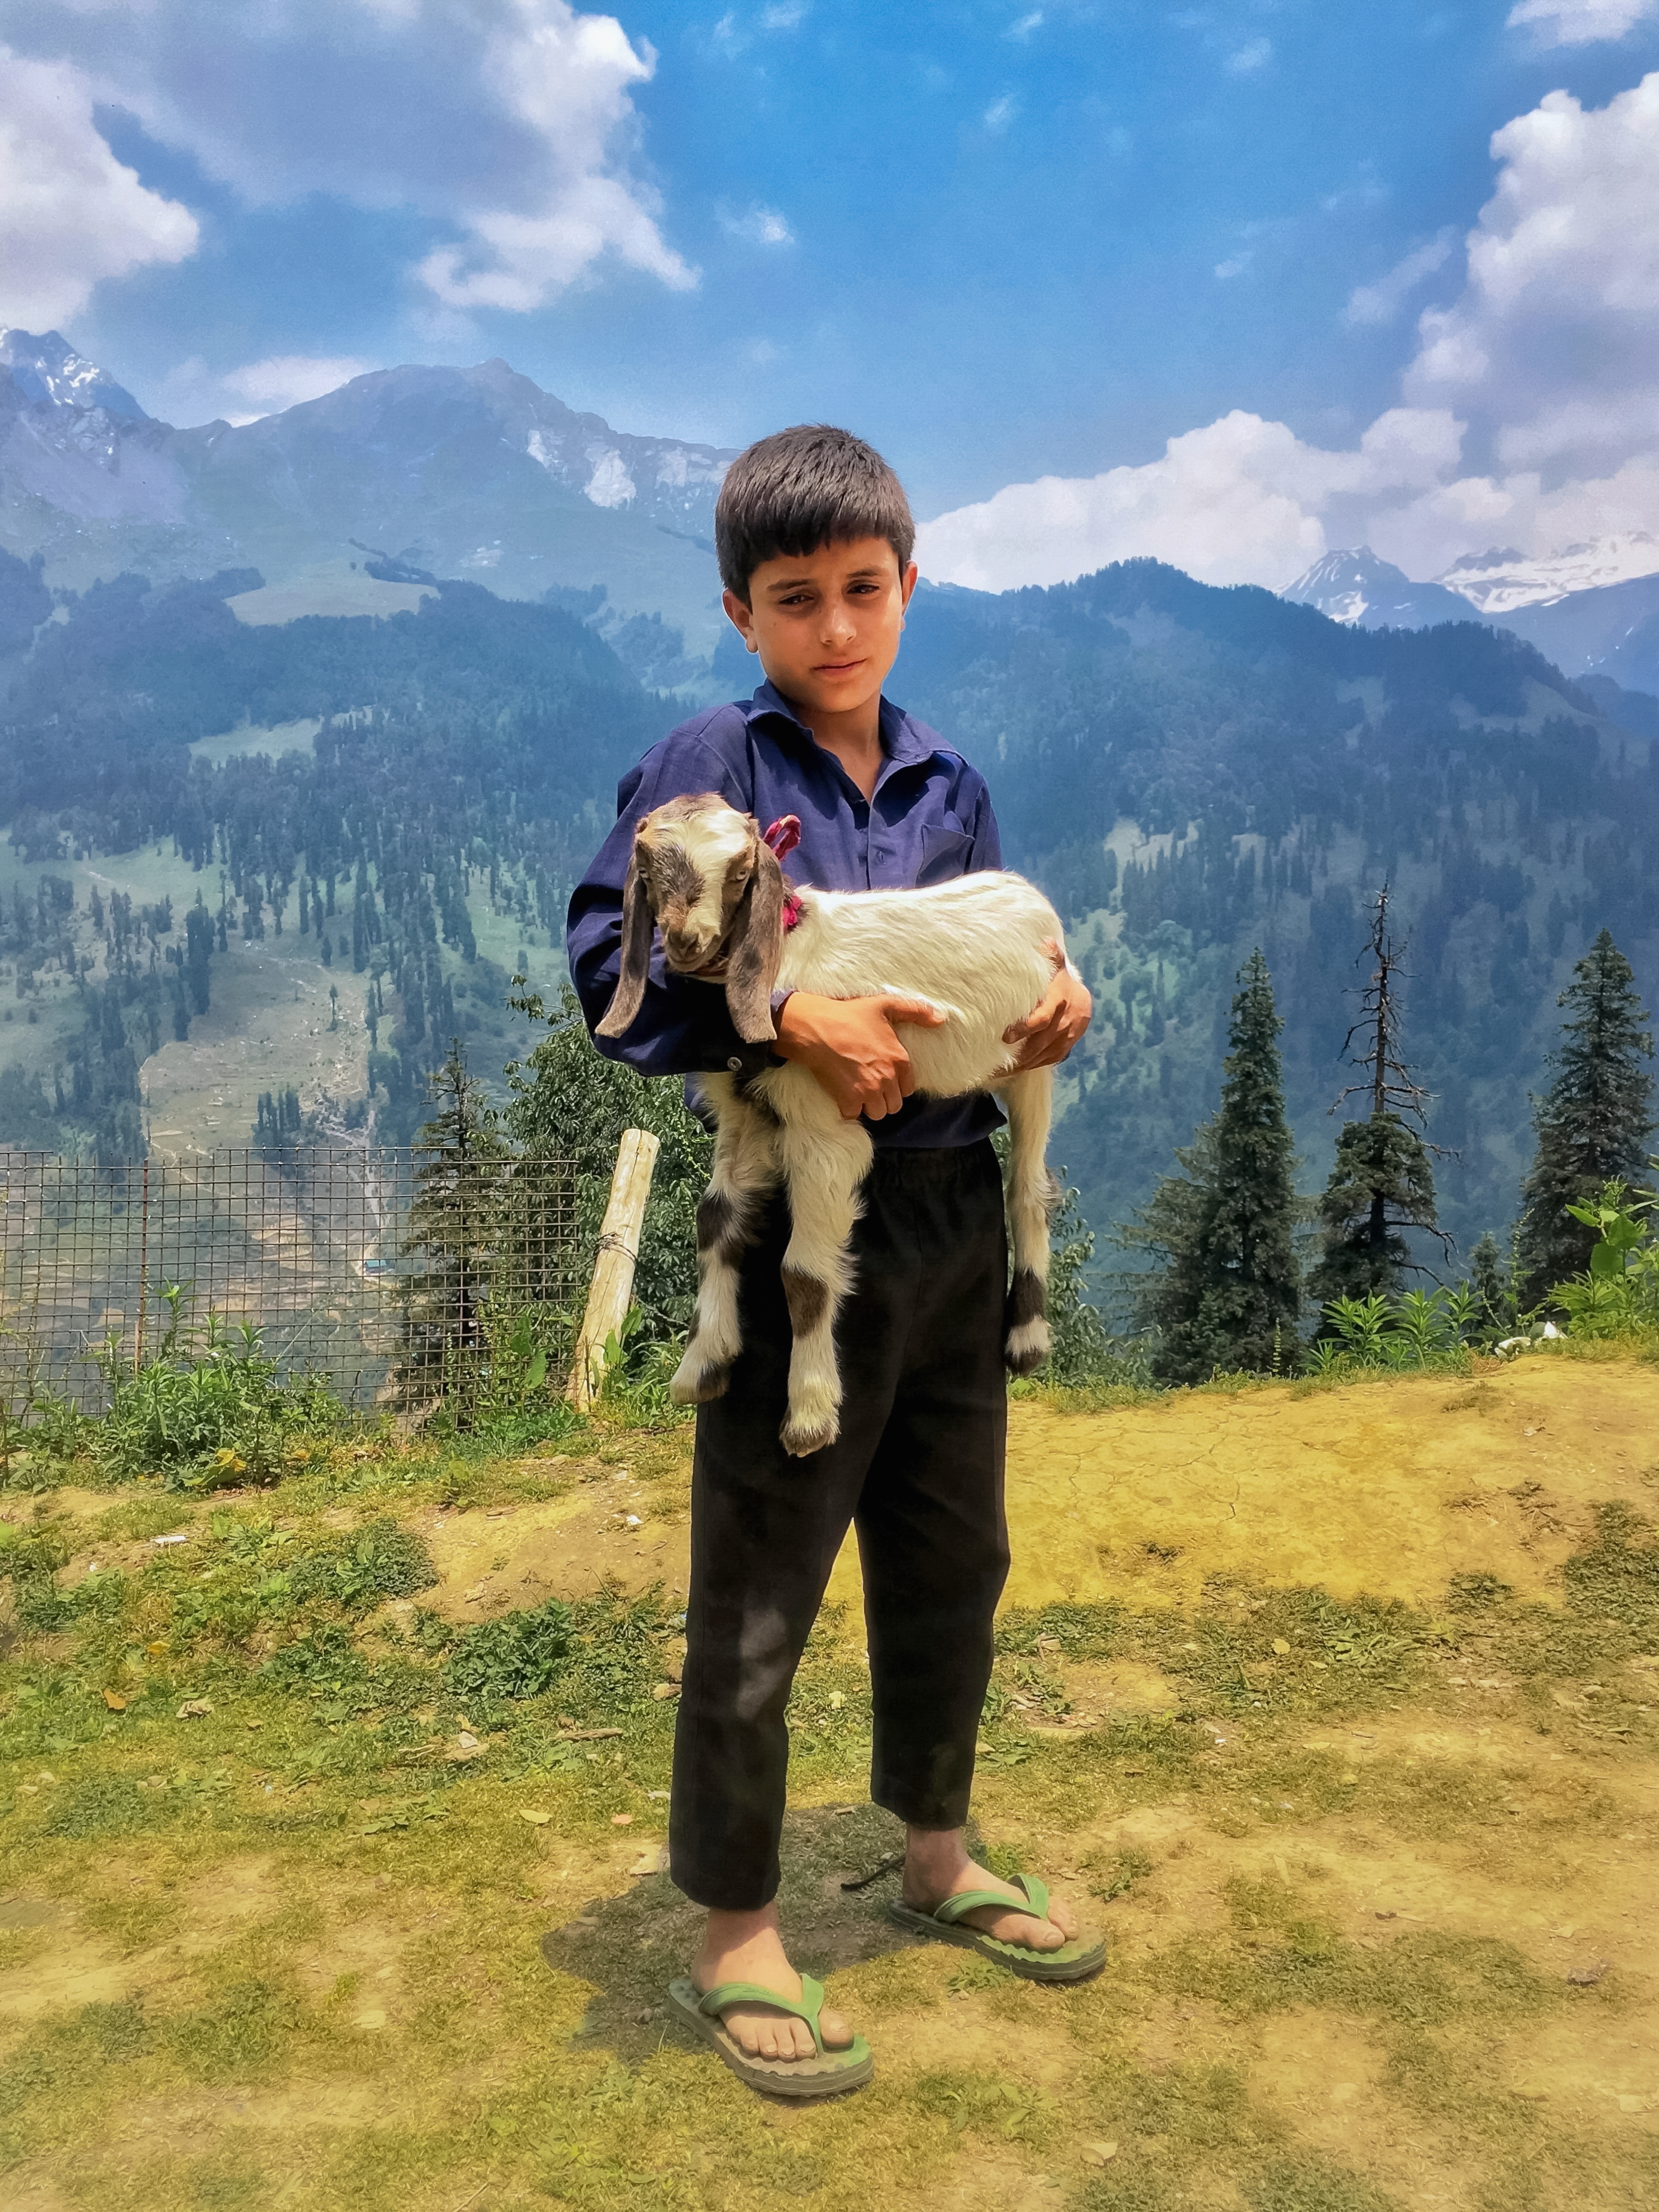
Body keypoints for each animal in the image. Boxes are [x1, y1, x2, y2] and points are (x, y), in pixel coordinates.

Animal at [597, 805, 1066, 1460]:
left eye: (739, 871)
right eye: (646, 869)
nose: (687, 940)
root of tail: (1027, 894)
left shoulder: (822, 1129)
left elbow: (804, 1275)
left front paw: (810, 1415)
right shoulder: (745, 1116)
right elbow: (716, 1222)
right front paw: (702, 1365)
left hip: (1035, 1059)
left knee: (1027, 1190)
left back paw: (1026, 1338)